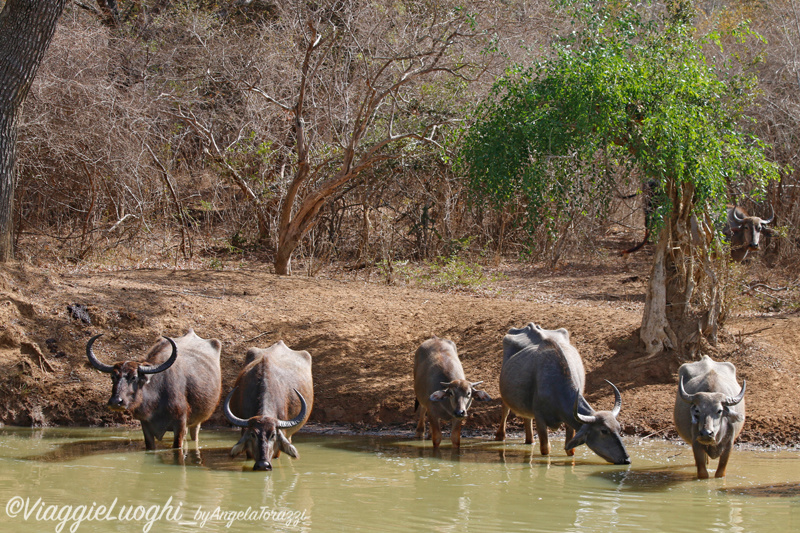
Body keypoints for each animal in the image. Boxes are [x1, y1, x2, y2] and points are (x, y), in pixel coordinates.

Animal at [86, 328, 222, 448]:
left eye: (134, 377)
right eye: (113, 376)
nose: (116, 402)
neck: (157, 399)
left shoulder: (180, 424)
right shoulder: (145, 424)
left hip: (197, 421)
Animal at [494, 322, 632, 464]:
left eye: (619, 428)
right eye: (604, 431)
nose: (626, 459)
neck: (555, 387)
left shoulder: (569, 421)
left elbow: (570, 450)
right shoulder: (540, 418)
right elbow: (545, 448)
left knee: (527, 425)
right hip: (505, 395)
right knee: (505, 410)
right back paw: (500, 435)